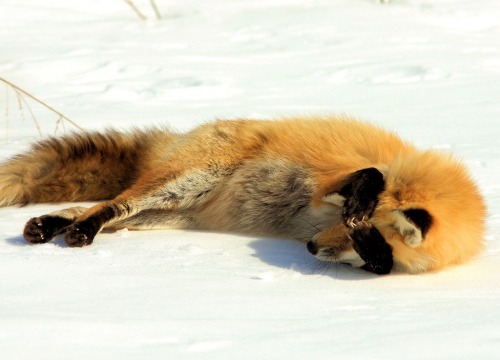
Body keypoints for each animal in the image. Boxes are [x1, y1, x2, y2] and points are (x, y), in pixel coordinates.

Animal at [0, 116, 484, 274]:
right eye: (338, 223)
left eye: (351, 239)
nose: (310, 246)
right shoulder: (327, 183)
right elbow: (371, 174)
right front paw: (365, 198)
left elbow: (381, 266)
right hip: (183, 182)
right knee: (109, 204)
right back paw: (76, 232)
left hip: (167, 213)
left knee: (100, 211)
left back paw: (49, 225)